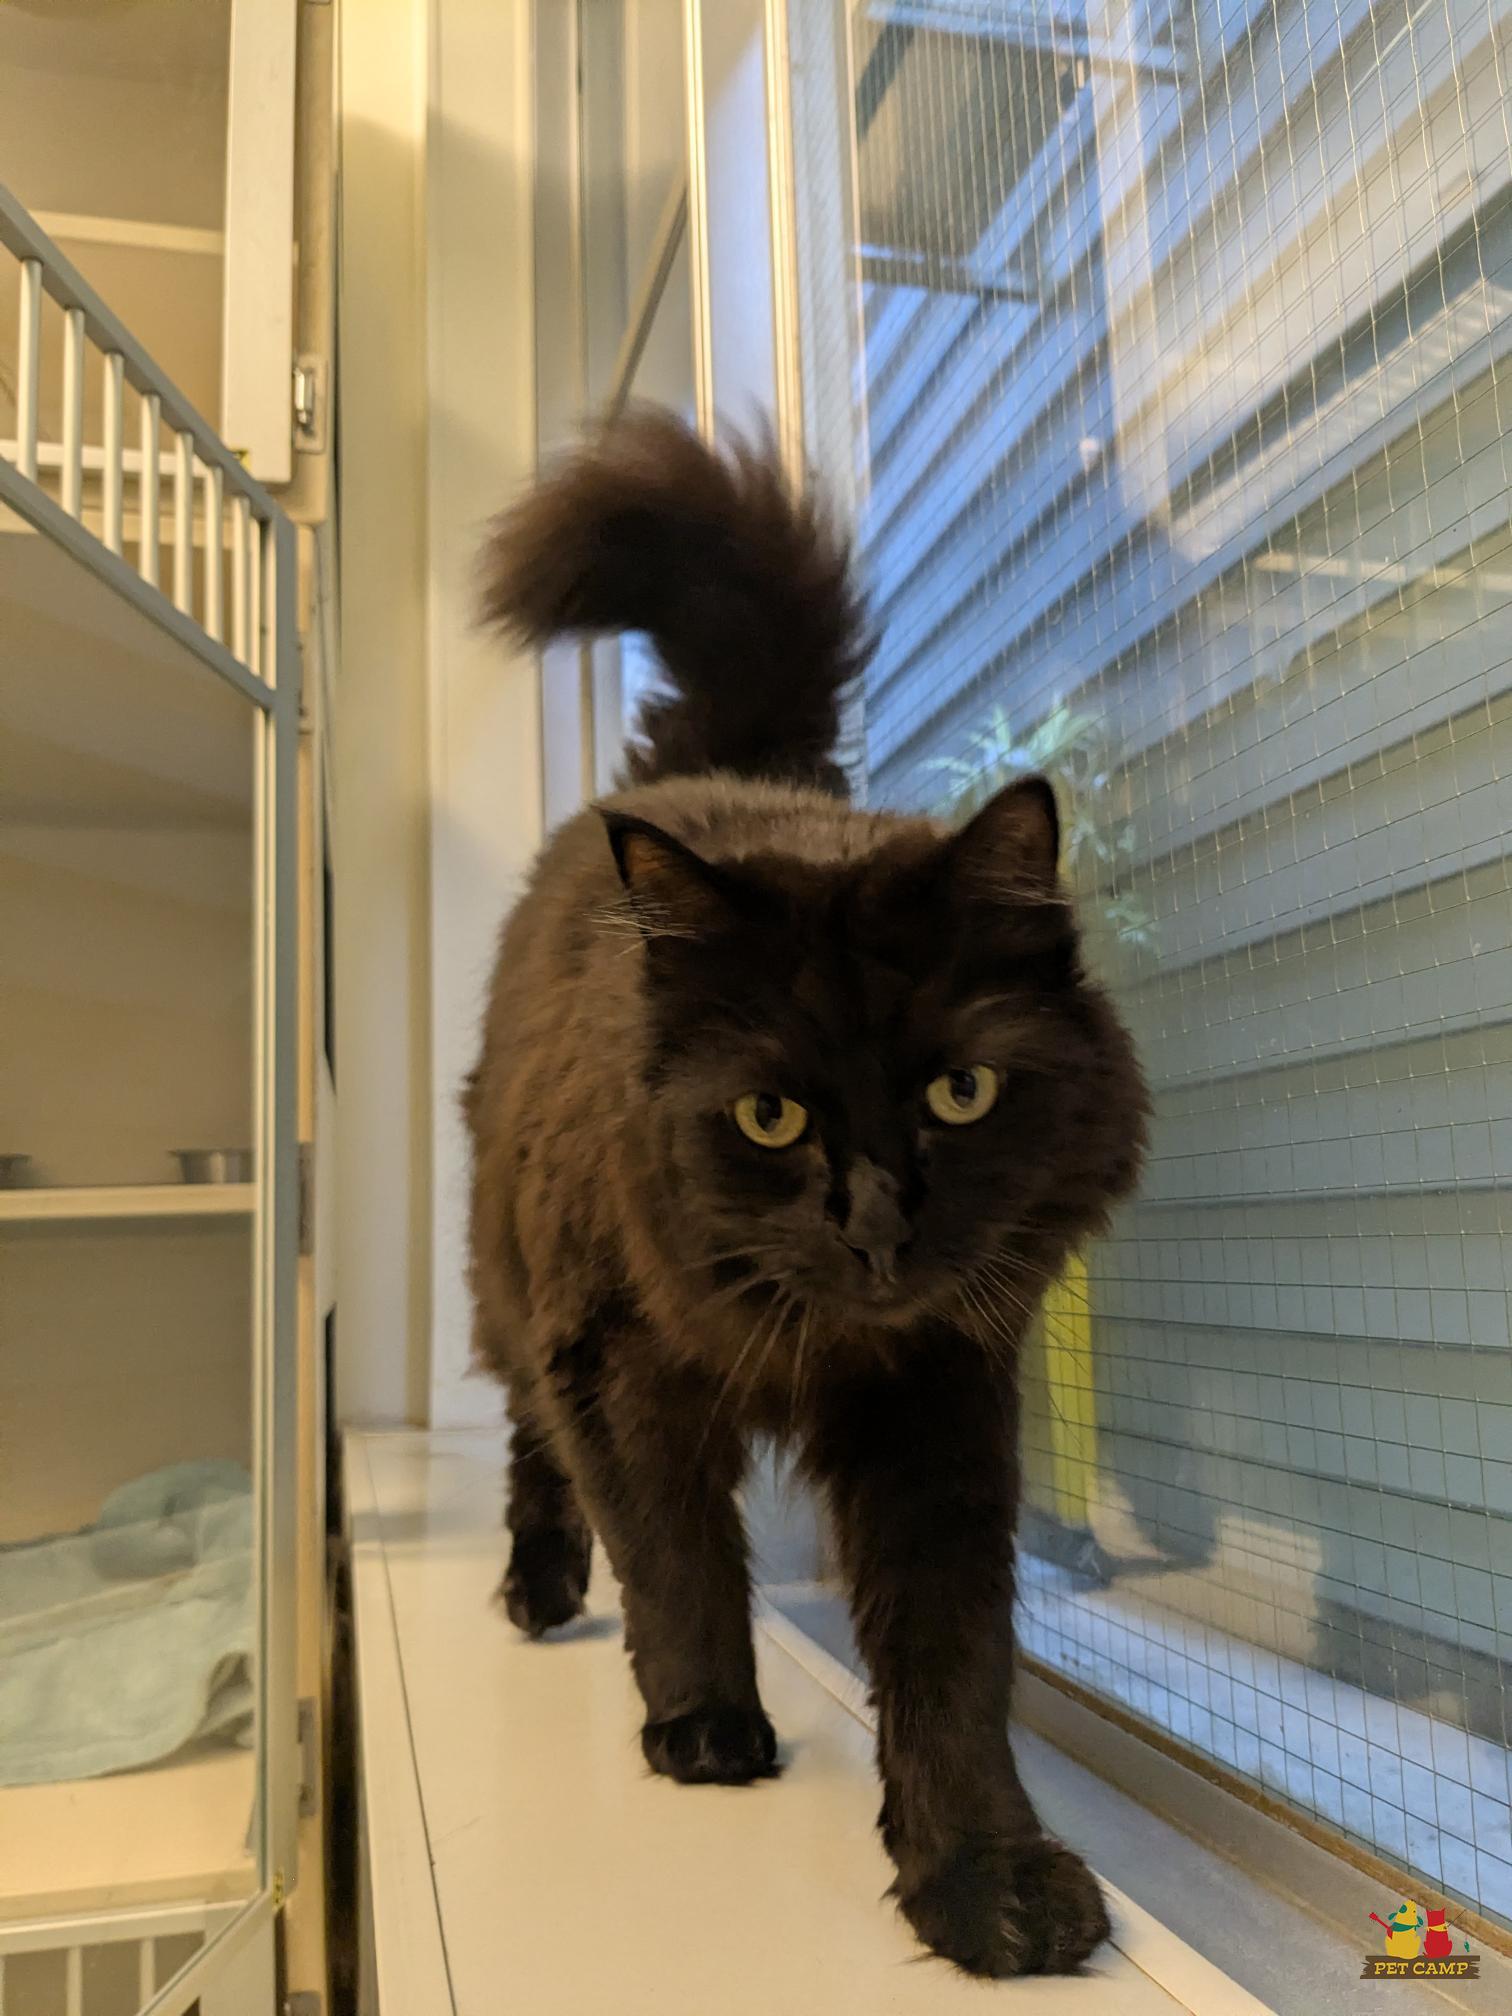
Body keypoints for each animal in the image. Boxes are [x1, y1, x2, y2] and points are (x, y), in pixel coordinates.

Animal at [465, 408, 1149, 1978]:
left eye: (961, 1094)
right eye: (770, 1115)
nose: (879, 1220)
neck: (819, 1341)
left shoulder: (938, 1401)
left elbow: (953, 1661)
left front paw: (983, 1875)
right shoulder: (620, 1366)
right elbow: (675, 1561)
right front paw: (706, 1727)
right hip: (514, 1280)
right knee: (530, 1441)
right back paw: (540, 1589)